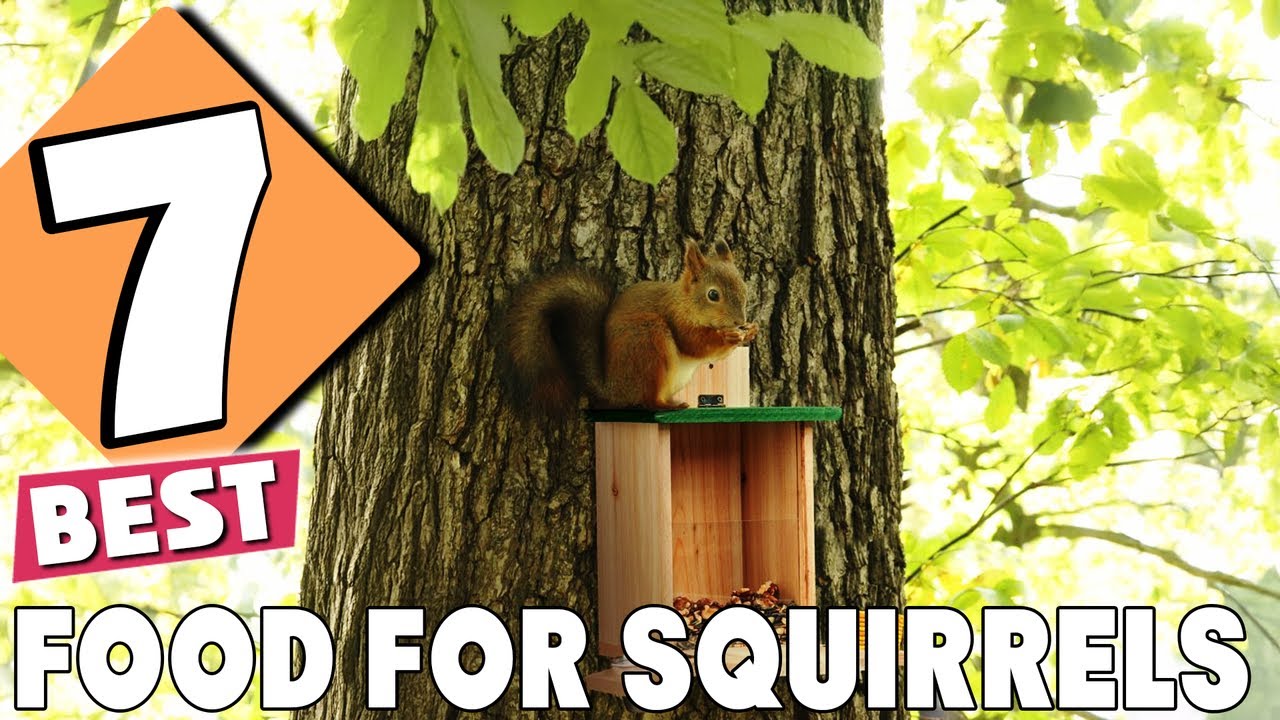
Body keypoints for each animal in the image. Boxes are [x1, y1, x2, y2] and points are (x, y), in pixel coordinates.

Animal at [501, 239, 758, 414]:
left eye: (744, 287)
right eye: (713, 294)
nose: (739, 321)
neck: (684, 302)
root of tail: (613, 389)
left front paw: (751, 331)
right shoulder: (676, 319)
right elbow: (695, 344)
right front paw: (728, 337)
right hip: (648, 342)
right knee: (648, 400)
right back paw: (669, 405)